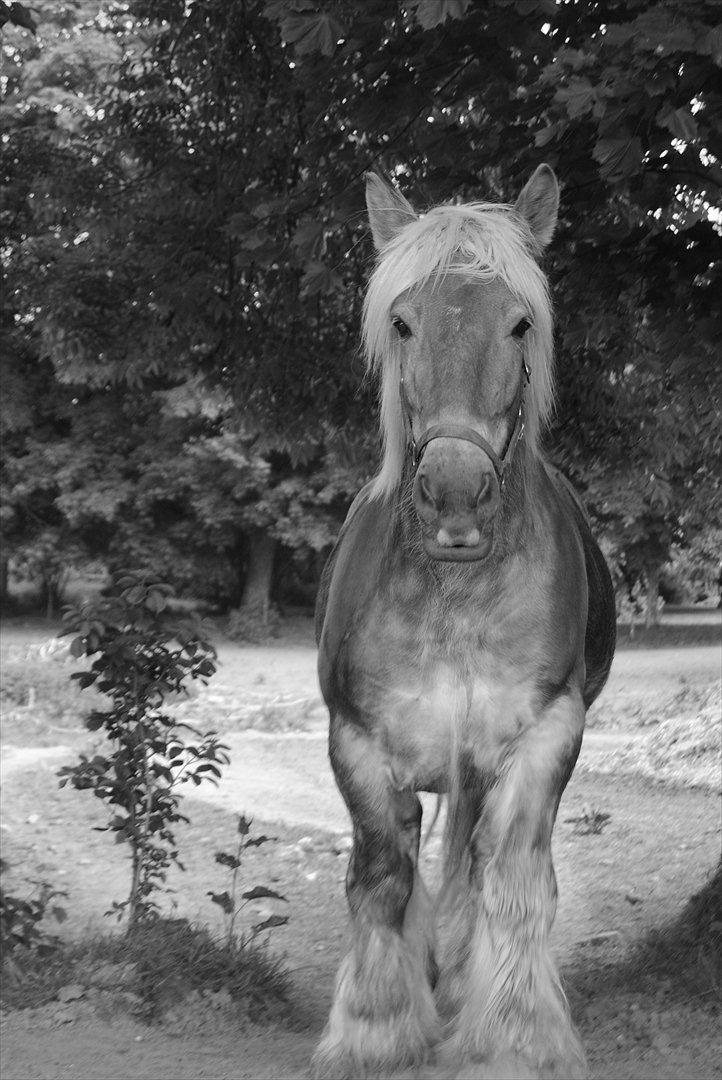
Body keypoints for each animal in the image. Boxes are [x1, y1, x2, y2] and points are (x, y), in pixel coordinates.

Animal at [310, 162, 612, 1080]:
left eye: (520, 323)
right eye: (402, 322)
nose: (454, 496)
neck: (457, 593)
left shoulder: (542, 738)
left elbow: (512, 886)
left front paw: (515, 1035)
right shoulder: (358, 744)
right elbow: (380, 880)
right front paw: (373, 1030)